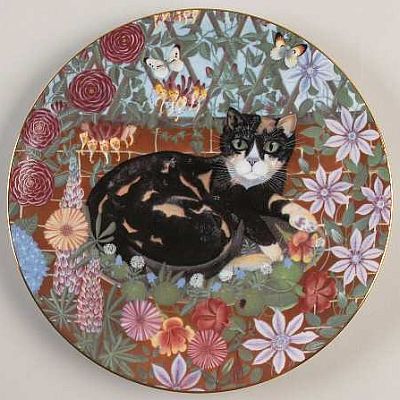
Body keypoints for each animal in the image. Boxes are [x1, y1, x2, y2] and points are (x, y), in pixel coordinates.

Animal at [87, 108, 317, 278]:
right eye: (239, 143)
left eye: (271, 146)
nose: (252, 161)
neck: (250, 183)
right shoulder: (226, 196)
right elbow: (252, 217)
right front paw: (273, 248)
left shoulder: (262, 191)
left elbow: (275, 200)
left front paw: (304, 219)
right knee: (215, 267)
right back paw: (260, 260)